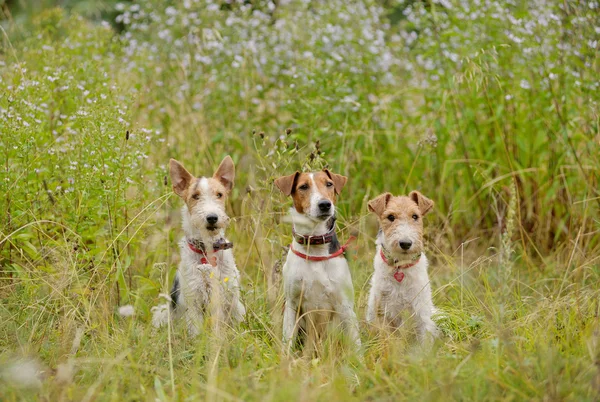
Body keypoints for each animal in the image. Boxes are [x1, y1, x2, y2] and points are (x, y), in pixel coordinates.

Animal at [152, 155, 246, 334]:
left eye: (219, 194)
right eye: (195, 196)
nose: (212, 218)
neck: (207, 253)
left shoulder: (227, 297)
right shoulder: (194, 299)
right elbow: (196, 330)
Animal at [274, 170, 360, 354]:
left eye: (329, 184)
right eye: (303, 186)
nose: (325, 204)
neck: (315, 246)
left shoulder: (345, 306)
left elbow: (357, 346)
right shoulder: (292, 304)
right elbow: (287, 341)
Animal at [364, 192, 438, 342]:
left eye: (415, 216)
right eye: (391, 217)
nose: (405, 243)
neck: (400, 266)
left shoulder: (421, 312)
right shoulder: (383, 311)